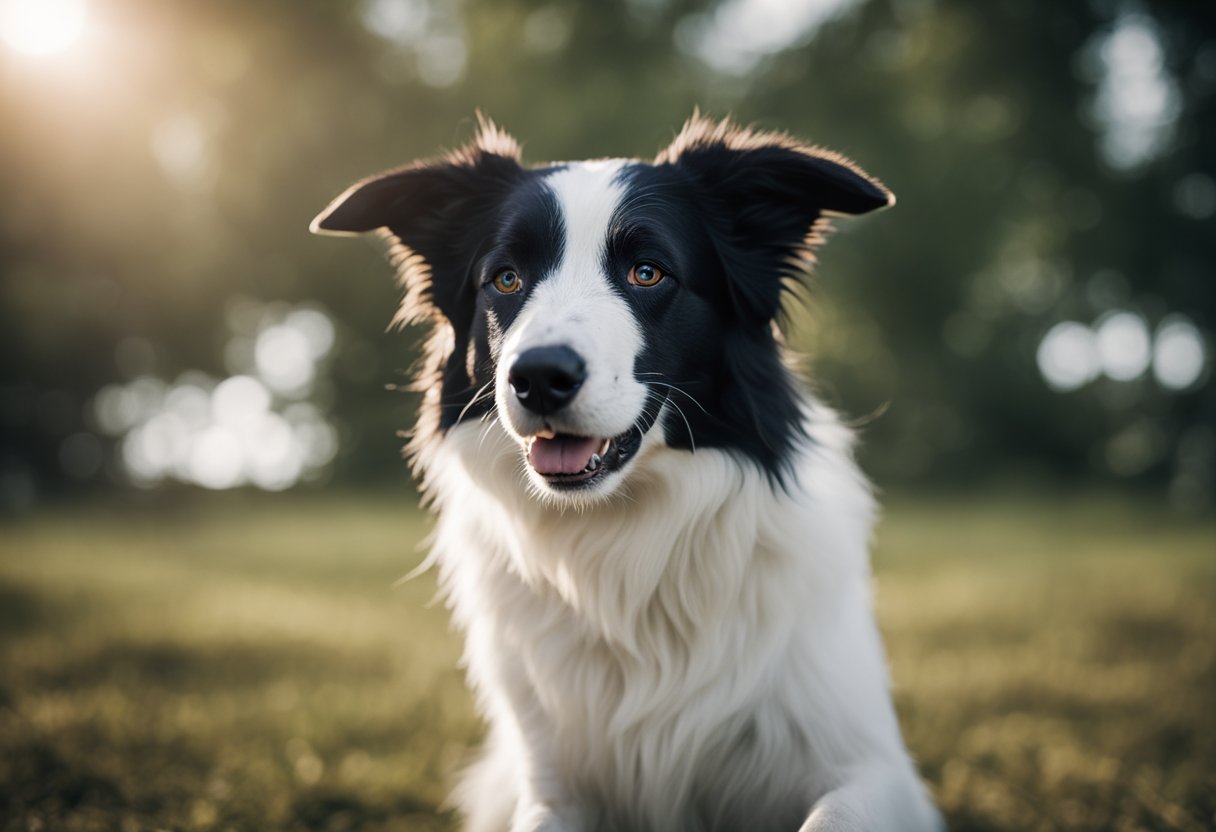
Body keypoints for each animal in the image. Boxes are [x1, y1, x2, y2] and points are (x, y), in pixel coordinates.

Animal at [313, 111, 938, 832]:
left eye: (647, 272)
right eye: (506, 279)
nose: (538, 377)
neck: (625, 541)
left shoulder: (869, 766)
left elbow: (829, 818)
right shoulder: (552, 785)